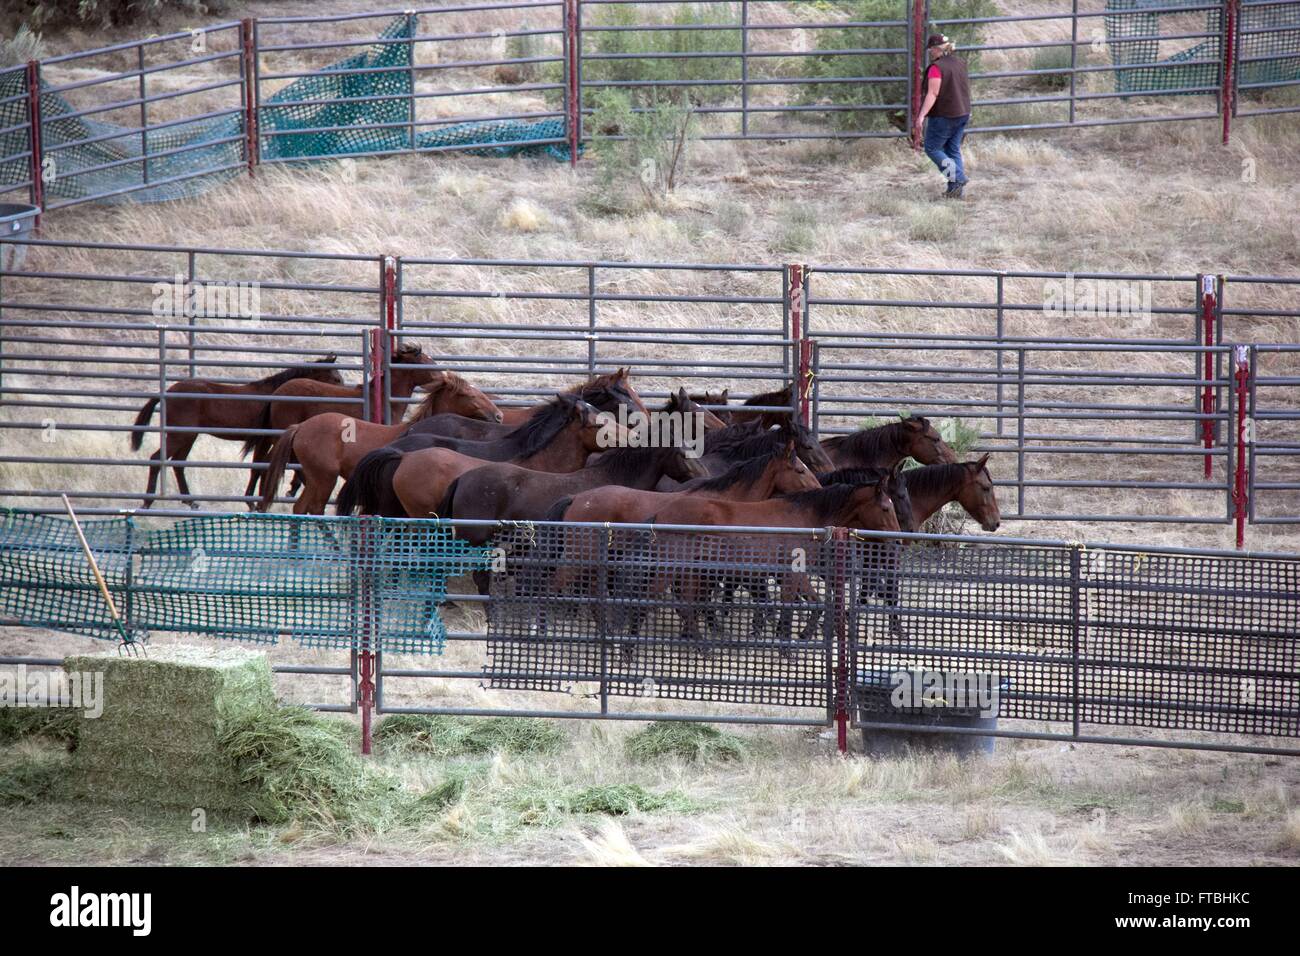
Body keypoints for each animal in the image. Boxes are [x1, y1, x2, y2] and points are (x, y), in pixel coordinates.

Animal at [130, 356, 343, 512]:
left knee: (178, 463)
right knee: (157, 459)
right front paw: (254, 502)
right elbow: (259, 467)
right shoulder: (265, 439)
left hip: (188, 436)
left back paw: (191, 502)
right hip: (179, 435)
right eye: (336, 379)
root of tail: (168, 392)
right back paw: (147, 502)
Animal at [254, 371, 501, 515]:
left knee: (300, 508)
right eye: (469, 395)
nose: (498, 415)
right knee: (314, 508)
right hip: (324, 477)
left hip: (315, 477)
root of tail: (301, 427)